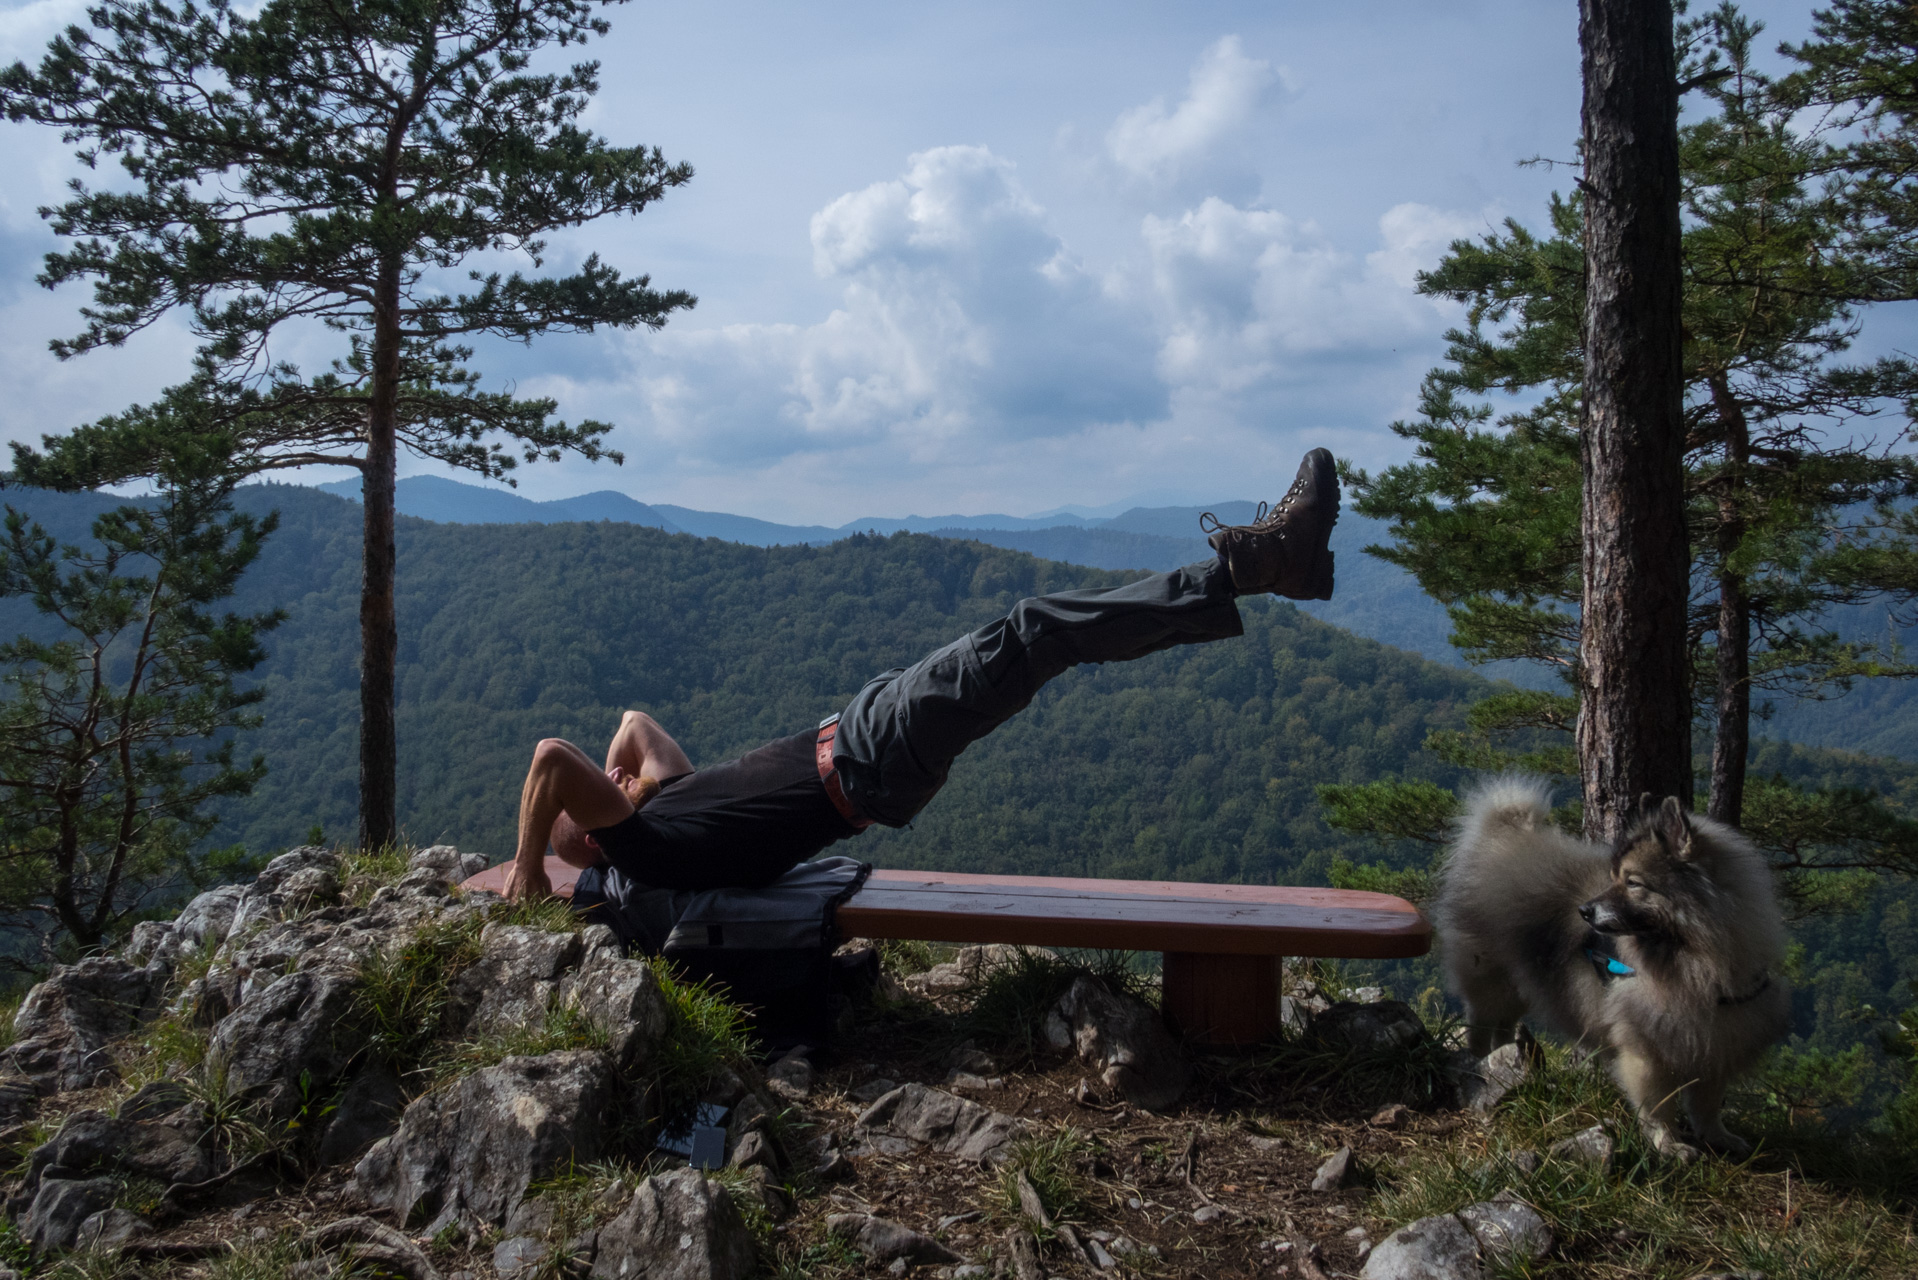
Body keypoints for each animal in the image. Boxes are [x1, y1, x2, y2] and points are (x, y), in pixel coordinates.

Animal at [1434, 782, 1787, 1159]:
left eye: (1632, 882)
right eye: (1615, 878)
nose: (1584, 911)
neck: (1695, 964)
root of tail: (1501, 836)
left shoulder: (1716, 1041)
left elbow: (1707, 1105)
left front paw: (1718, 1138)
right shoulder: (1646, 1050)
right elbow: (1658, 1106)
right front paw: (1669, 1144)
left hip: (1520, 986)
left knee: (1503, 1026)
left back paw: (1506, 1061)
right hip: (1492, 981)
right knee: (1479, 1026)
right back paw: (1479, 1061)